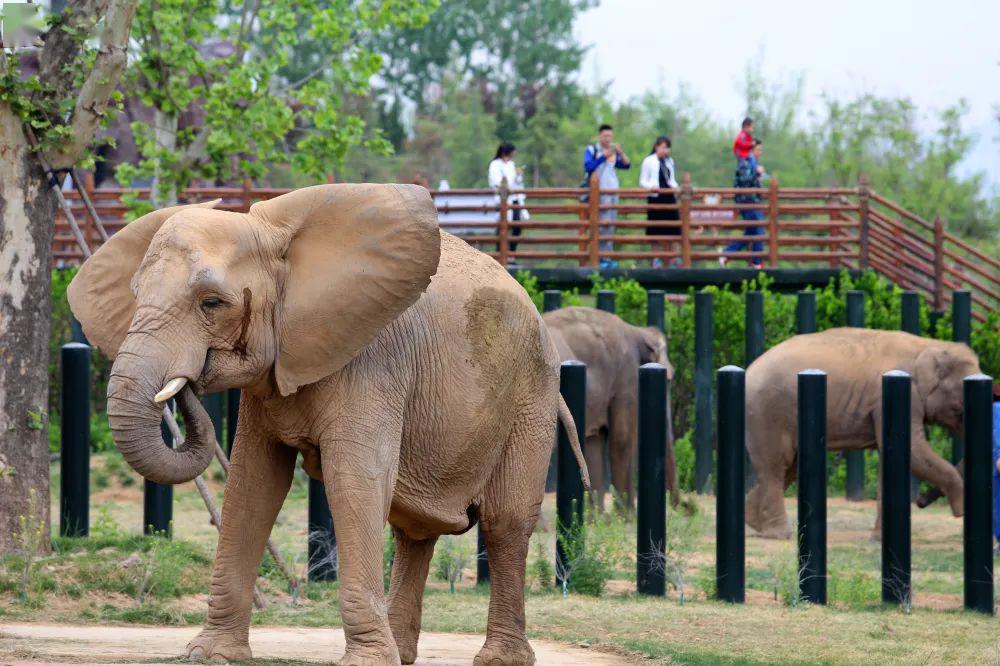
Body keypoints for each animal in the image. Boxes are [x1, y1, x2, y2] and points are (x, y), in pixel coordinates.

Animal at [68, 183, 584, 664]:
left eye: (211, 303)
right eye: (135, 296)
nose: (187, 383)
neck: (275, 238)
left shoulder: (372, 360)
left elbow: (353, 481)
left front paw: (367, 662)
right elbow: (252, 485)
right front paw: (211, 654)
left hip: (531, 395)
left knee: (504, 523)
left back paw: (498, 658)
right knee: (416, 528)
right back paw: (403, 652)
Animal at [540, 304, 680, 510]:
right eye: (669, 378)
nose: (685, 509)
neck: (638, 331)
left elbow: (594, 444)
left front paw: (597, 516)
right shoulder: (626, 379)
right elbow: (622, 440)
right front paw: (626, 515)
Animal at [748, 326, 980, 540]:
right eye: (960, 409)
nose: (921, 502)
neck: (929, 346)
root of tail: (750, 368)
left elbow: (892, 457)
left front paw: (878, 540)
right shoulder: (895, 398)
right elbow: (914, 453)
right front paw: (962, 509)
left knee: (789, 467)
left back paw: (753, 522)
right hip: (768, 414)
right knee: (776, 466)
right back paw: (779, 534)